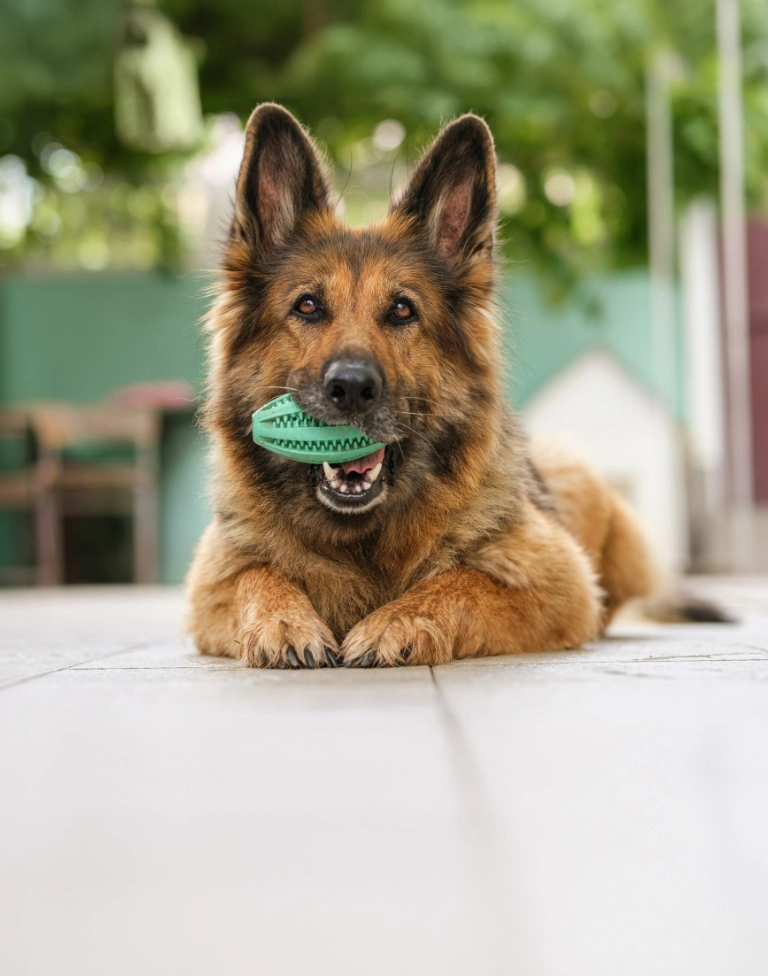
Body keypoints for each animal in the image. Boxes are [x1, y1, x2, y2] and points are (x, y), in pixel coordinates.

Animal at [184, 105, 656, 672]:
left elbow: (462, 578)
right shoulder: (212, 581)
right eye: (307, 306)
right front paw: (283, 622)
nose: (351, 387)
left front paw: (398, 622)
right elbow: (259, 575)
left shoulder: (563, 580)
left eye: (402, 310)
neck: (361, 538)